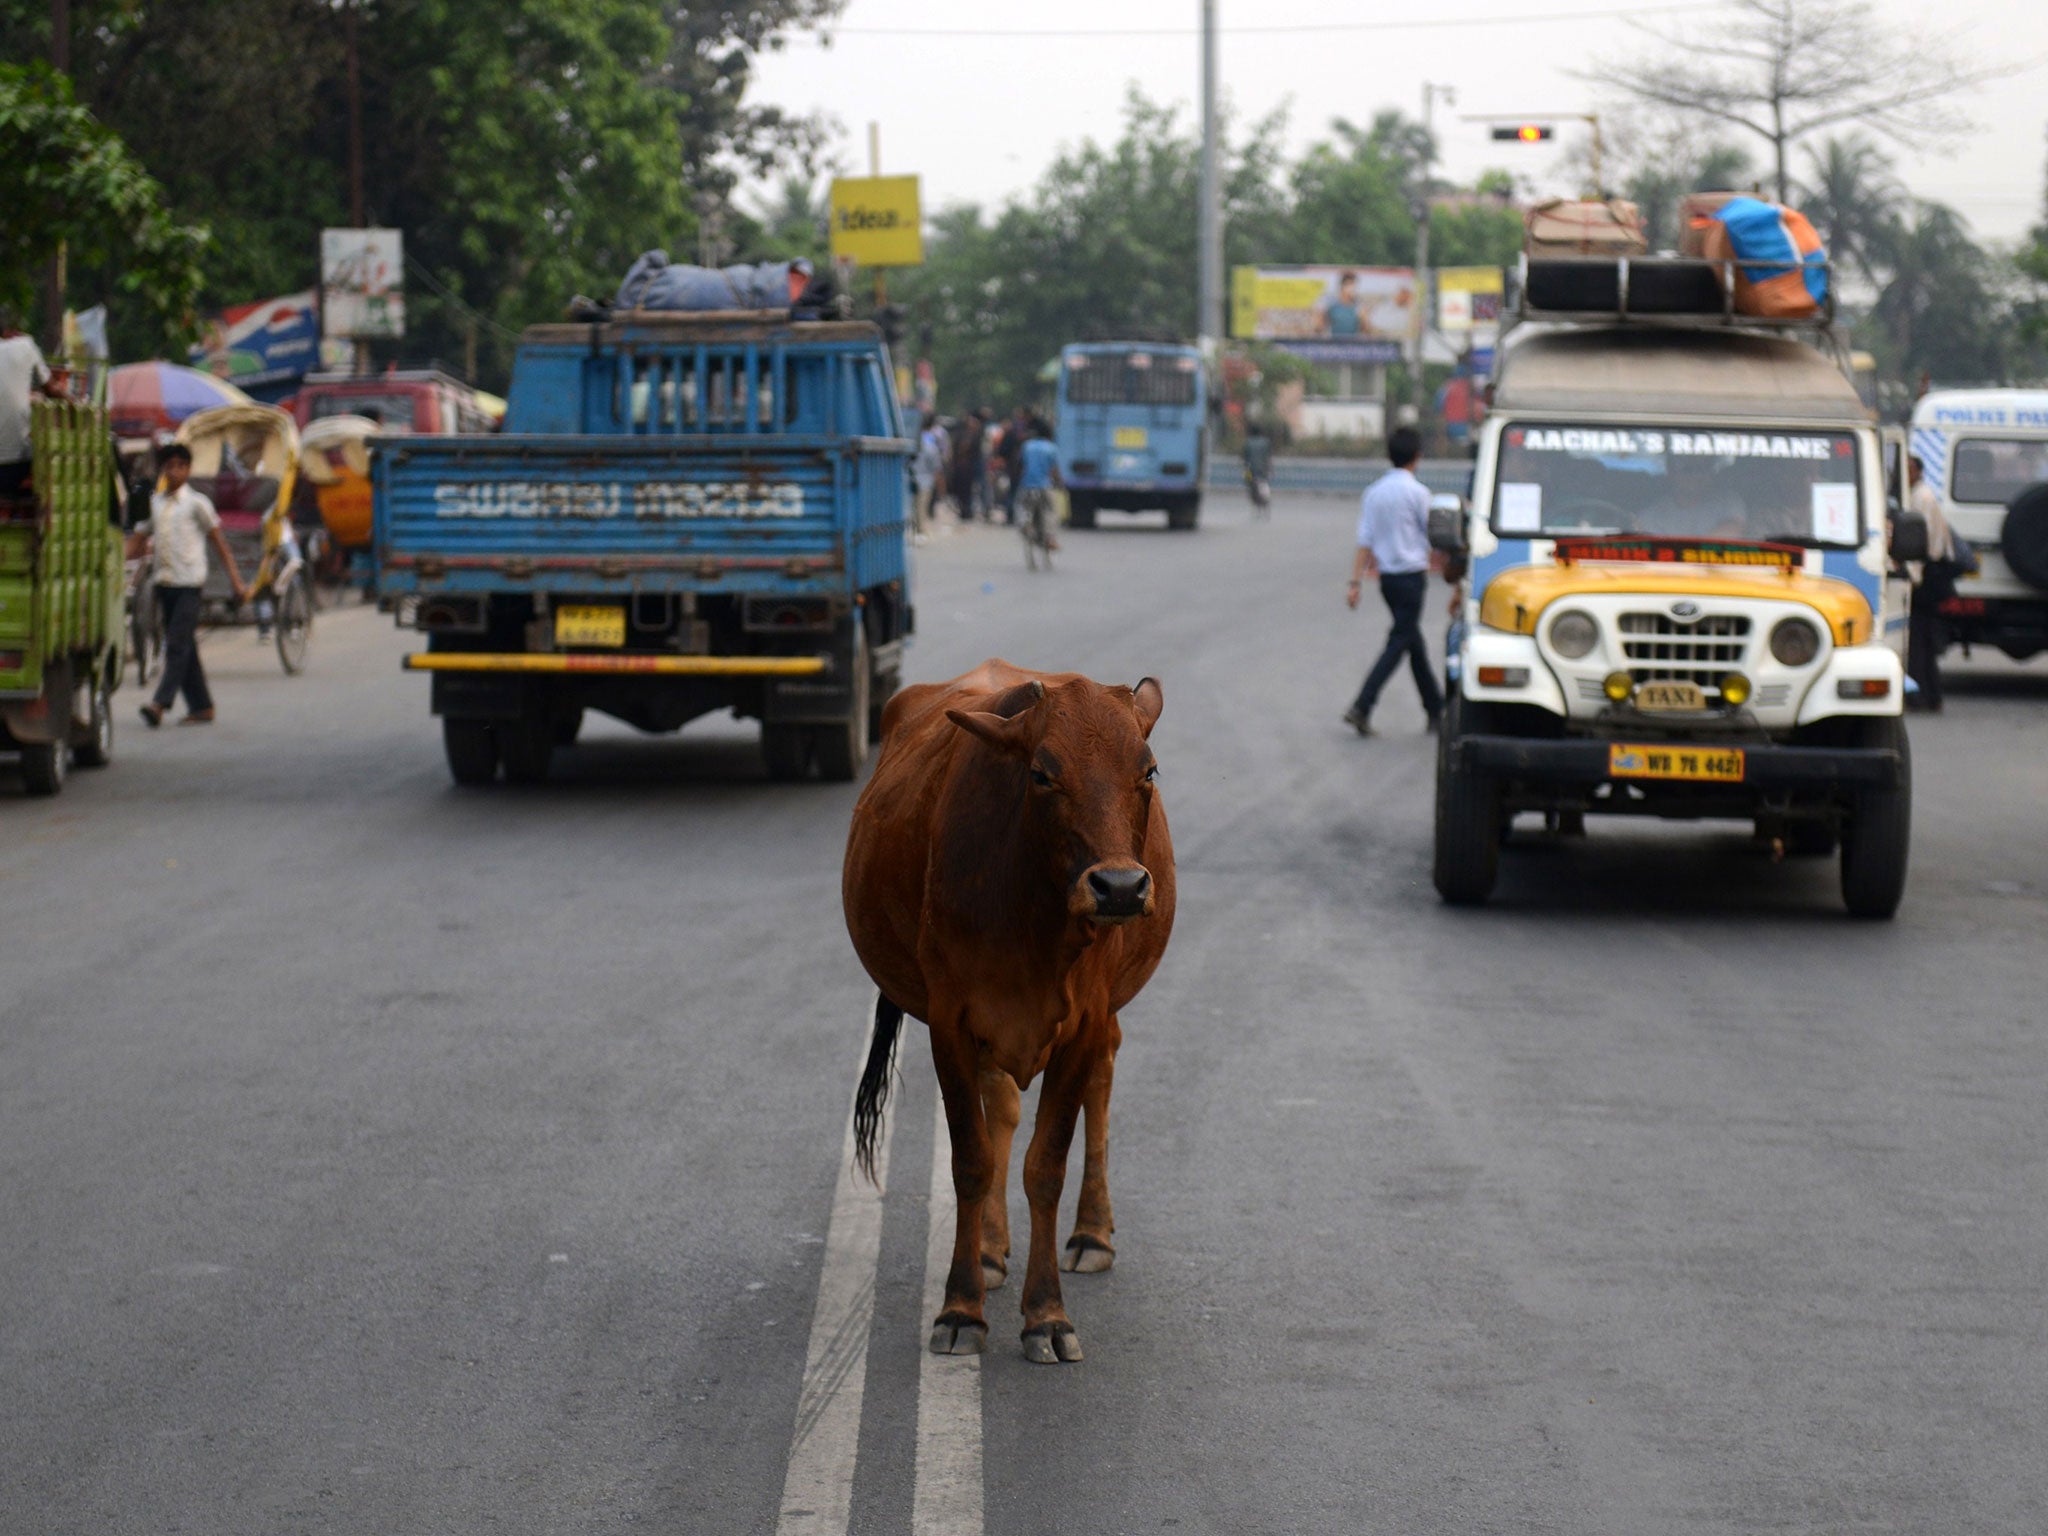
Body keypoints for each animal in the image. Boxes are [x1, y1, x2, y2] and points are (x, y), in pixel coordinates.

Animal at [839, 655, 1179, 1368]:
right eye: (1042, 772)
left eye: (1149, 771)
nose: (1120, 888)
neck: (1033, 915)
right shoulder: (951, 1023)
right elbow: (972, 1160)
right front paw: (960, 1308)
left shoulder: (1083, 1025)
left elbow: (1045, 1166)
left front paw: (1046, 1317)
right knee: (1000, 1109)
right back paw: (991, 1250)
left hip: (1104, 1017)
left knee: (1103, 1080)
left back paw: (1092, 1234)